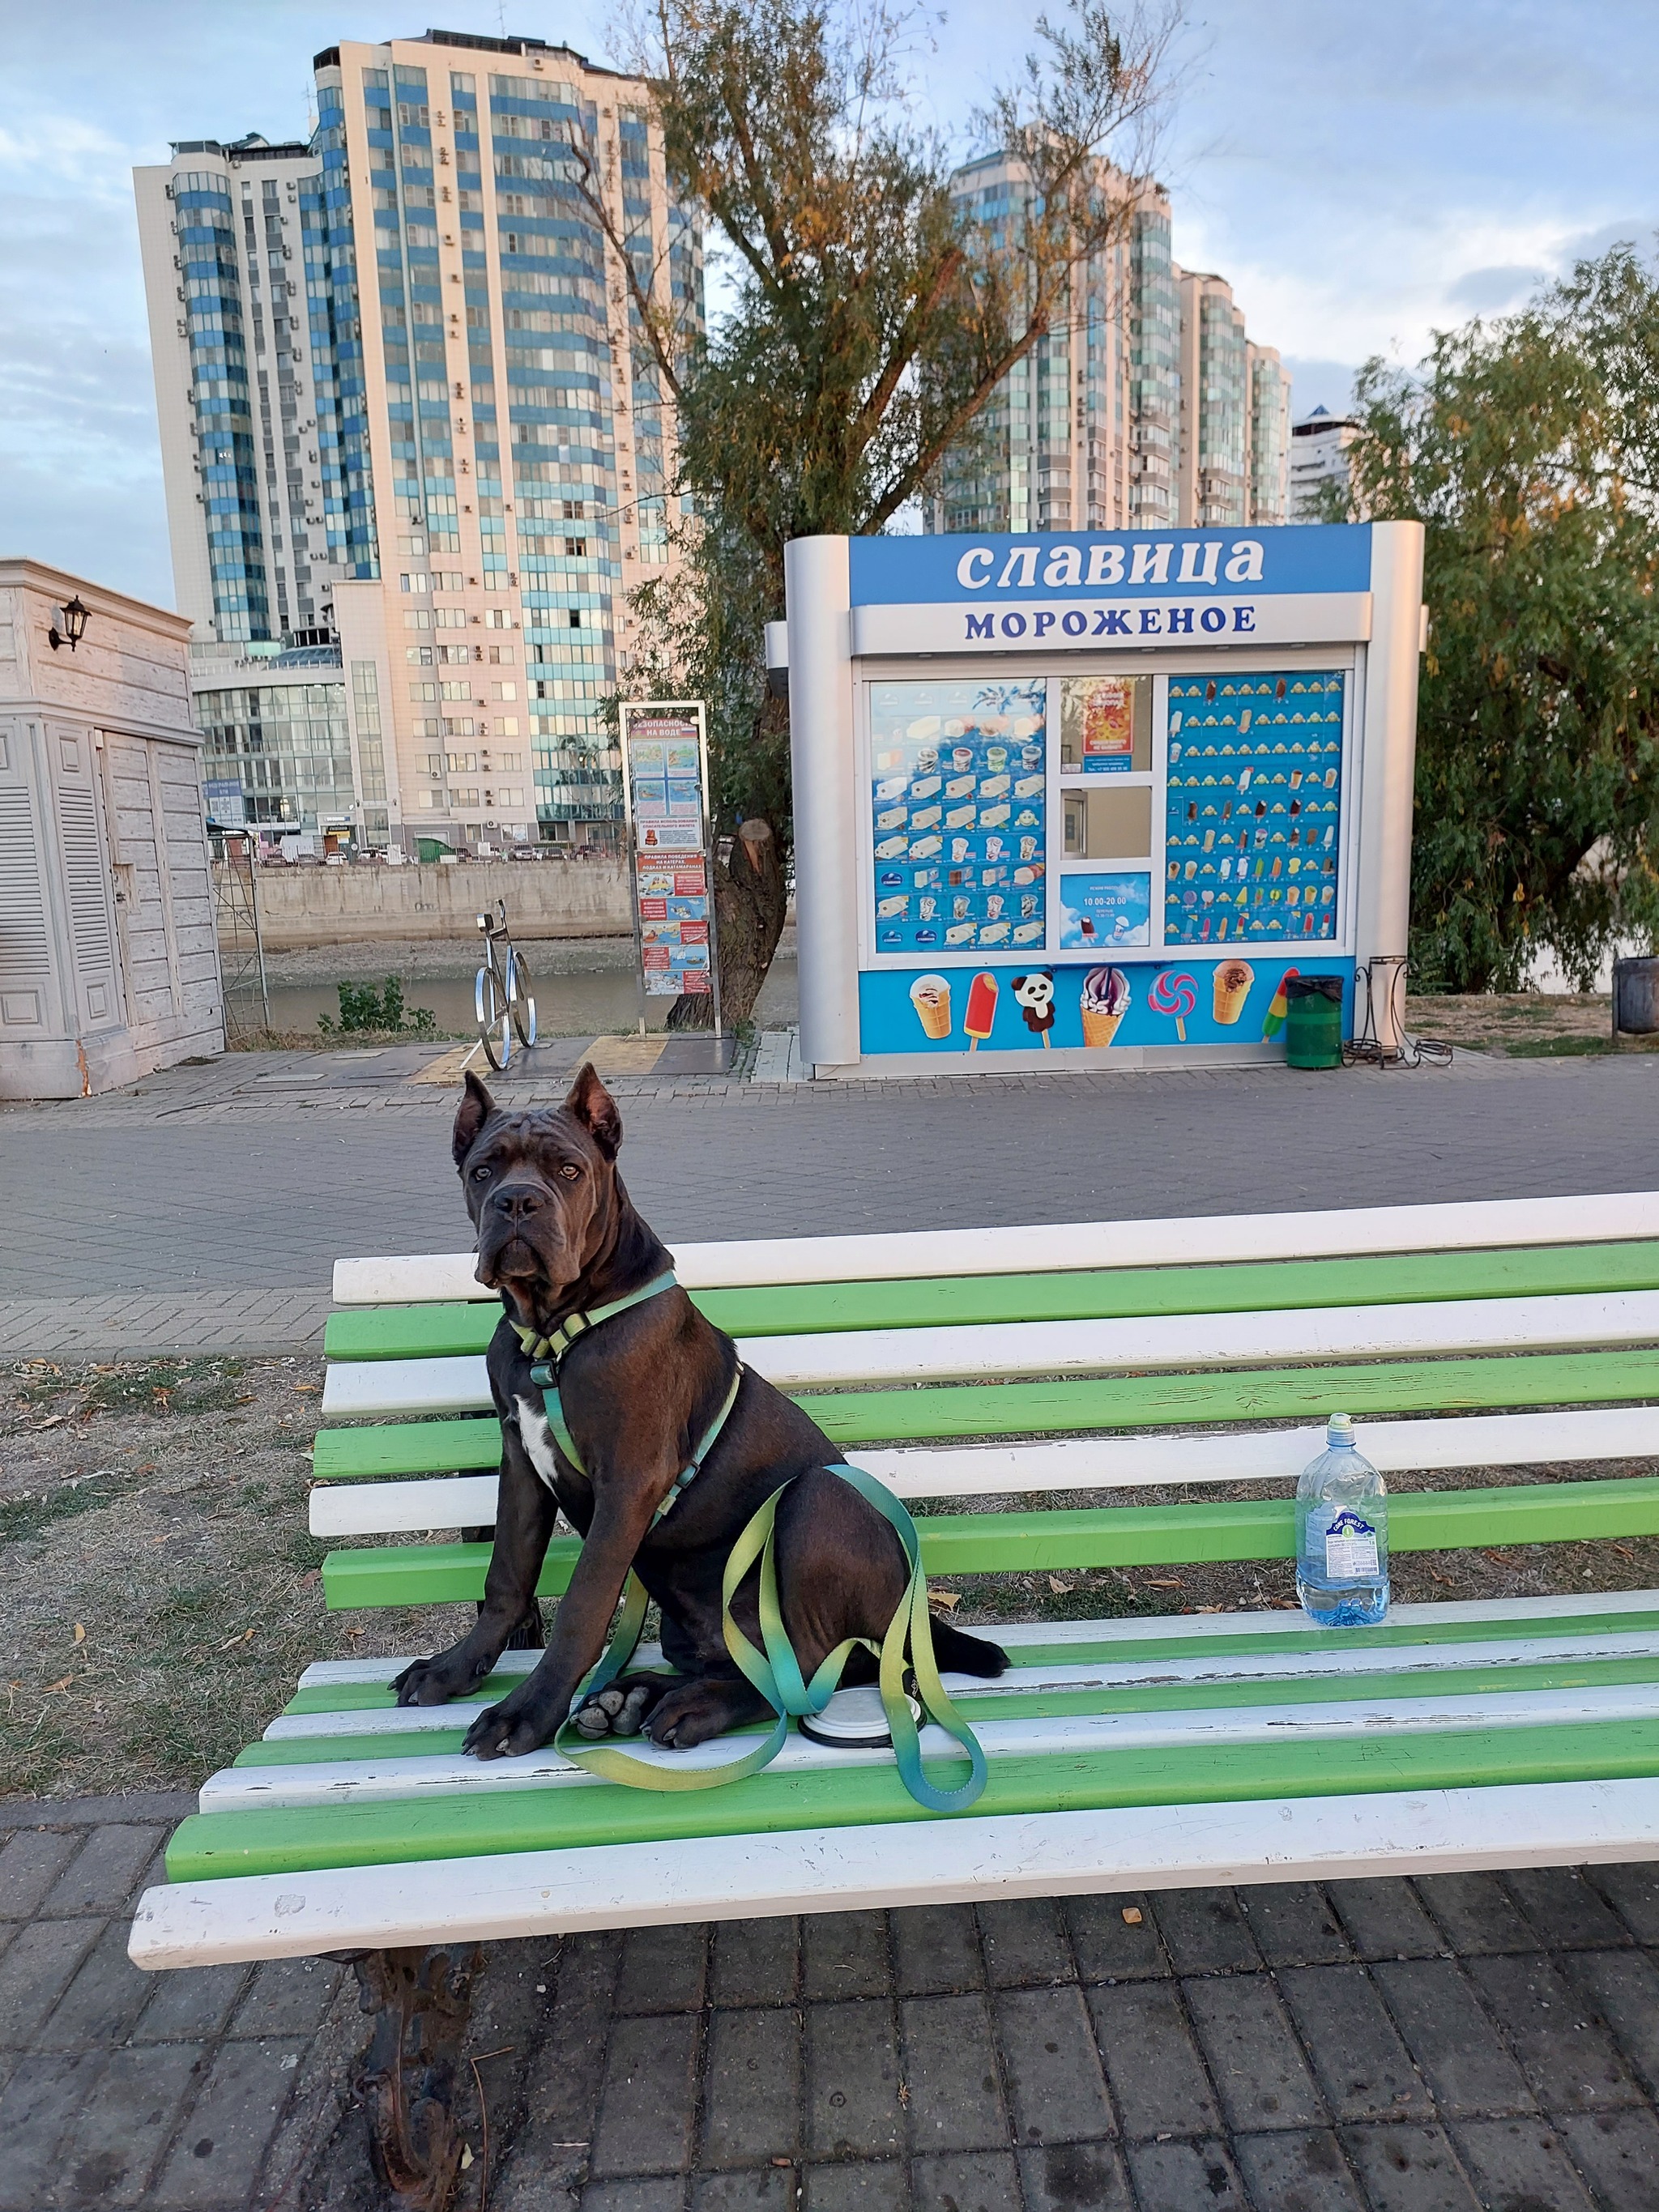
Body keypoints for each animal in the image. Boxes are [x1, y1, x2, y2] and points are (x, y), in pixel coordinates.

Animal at [395, 1070, 1009, 1760]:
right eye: (482, 1171)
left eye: (569, 1170)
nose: (517, 1201)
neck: (552, 1334)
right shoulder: (522, 1461)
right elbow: (506, 1576)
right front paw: (453, 1669)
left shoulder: (628, 1480)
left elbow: (582, 1605)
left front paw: (526, 1711)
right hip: (697, 1626)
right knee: (753, 1664)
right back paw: (636, 1697)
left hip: (816, 1501)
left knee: (808, 1672)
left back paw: (691, 1707)